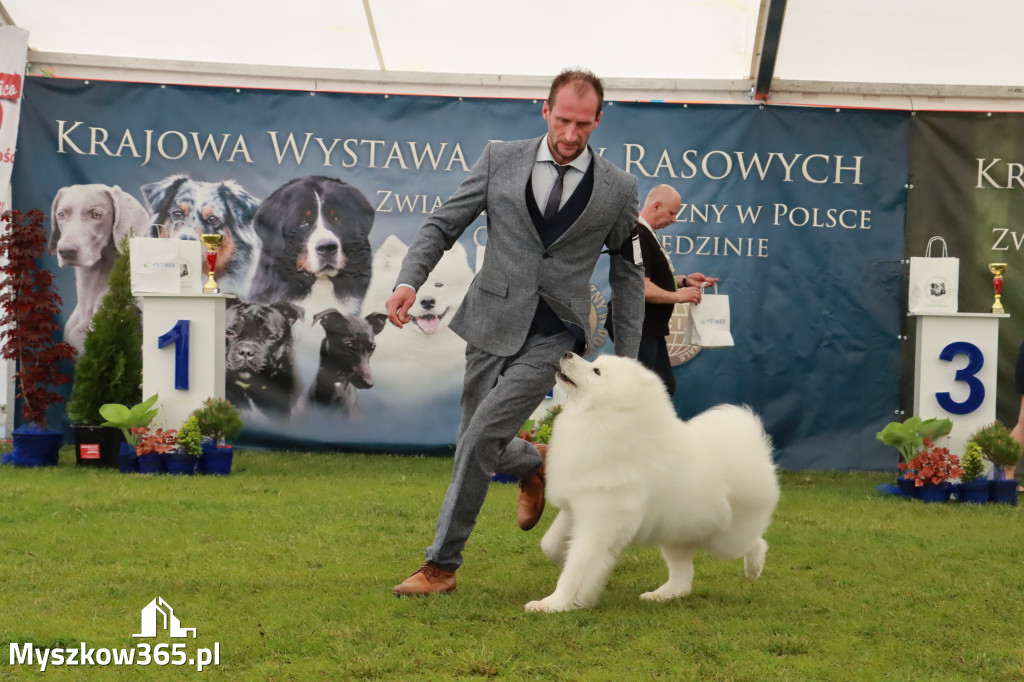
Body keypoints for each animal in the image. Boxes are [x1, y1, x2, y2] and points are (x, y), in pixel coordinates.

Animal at [528, 350, 782, 610]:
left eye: (596, 371)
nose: (567, 352)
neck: (603, 418)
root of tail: (753, 452)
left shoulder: (600, 521)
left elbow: (577, 568)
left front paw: (553, 603)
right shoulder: (575, 508)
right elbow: (549, 545)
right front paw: (560, 561)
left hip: (724, 540)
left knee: (754, 542)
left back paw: (754, 568)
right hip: (676, 534)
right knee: (683, 577)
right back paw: (662, 595)